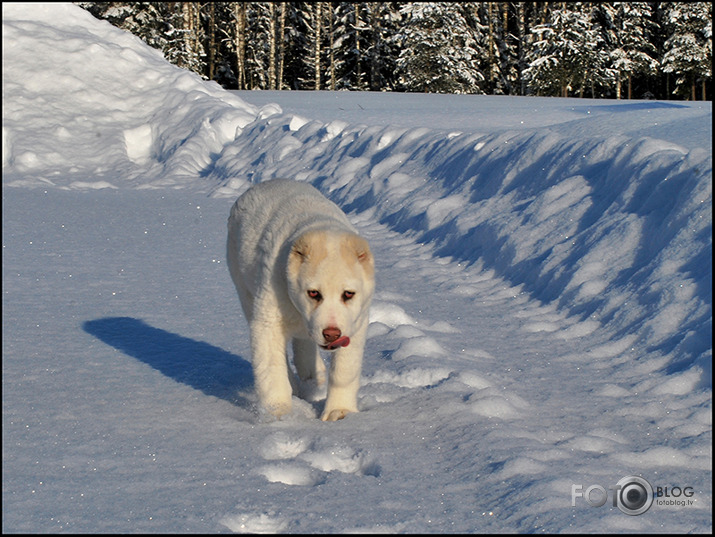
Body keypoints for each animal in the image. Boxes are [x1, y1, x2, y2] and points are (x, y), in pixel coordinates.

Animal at [228, 179, 374, 418]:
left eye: (348, 294)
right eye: (313, 293)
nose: (332, 334)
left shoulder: (356, 321)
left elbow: (345, 370)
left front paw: (339, 412)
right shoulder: (267, 319)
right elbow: (271, 368)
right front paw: (279, 413)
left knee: (304, 343)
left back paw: (314, 377)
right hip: (245, 292)